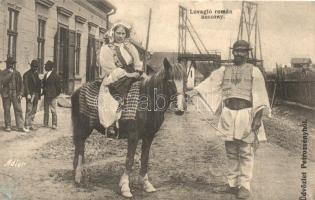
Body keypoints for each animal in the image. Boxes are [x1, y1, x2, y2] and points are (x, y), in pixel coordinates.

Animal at [71, 58, 185, 198]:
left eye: (184, 81)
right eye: (170, 81)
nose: (180, 109)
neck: (148, 101)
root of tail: (76, 91)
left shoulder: (149, 137)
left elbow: (144, 159)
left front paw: (146, 184)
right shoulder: (133, 136)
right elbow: (129, 160)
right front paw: (125, 187)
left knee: (80, 148)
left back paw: (80, 175)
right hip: (82, 128)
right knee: (79, 147)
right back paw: (78, 177)